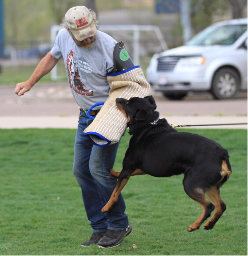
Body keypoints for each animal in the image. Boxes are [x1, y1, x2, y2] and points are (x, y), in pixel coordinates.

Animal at [101, 96, 232, 232]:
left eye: (127, 103)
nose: (117, 98)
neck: (148, 124)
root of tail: (222, 153)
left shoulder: (128, 167)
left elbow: (115, 192)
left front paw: (106, 207)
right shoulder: (143, 167)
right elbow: (123, 174)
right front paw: (113, 171)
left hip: (190, 184)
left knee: (209, 206)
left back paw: (194, 226)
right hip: (211, 186)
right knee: (221, 206)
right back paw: (209, 224)